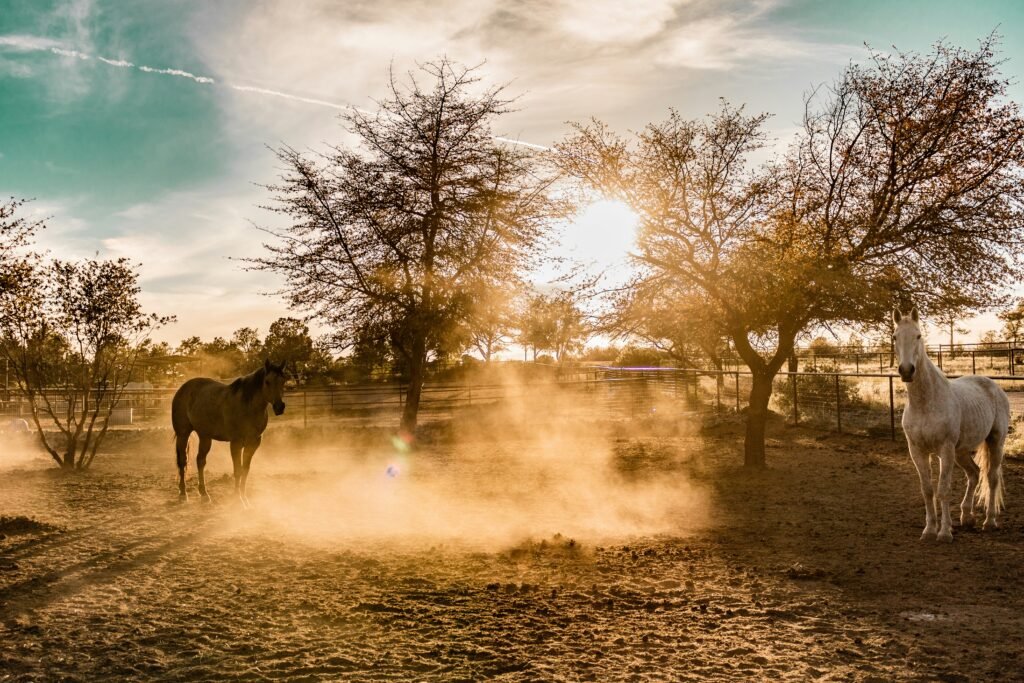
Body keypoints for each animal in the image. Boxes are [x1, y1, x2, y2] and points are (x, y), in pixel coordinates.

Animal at [172, 360, 286, 506]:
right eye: (267, 381)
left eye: (283, 381)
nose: (279, 407)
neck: (247, 406)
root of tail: (182, 388)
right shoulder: (236, 443)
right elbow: (237, 470)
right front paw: (238, 499)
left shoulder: (253, 443)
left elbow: (245, 470)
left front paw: (244, 498)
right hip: (183, 434)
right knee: (183, 461)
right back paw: (183, 494)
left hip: (205, 436)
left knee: (200, 461)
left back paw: (204, 494)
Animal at [893, 308, 1009, 541]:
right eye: (894, 337)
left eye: (918, 336)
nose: (907, 370)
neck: (926, 403)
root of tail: (994, 386)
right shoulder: (917, 451)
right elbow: (927, 490)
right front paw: (929, 530)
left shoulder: (944, 450)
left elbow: (943, 489)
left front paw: (945, 532)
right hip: (961, 451)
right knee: (974, 474)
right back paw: (967, 517)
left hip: (995, 441)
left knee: (991, 478)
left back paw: (989, 521)